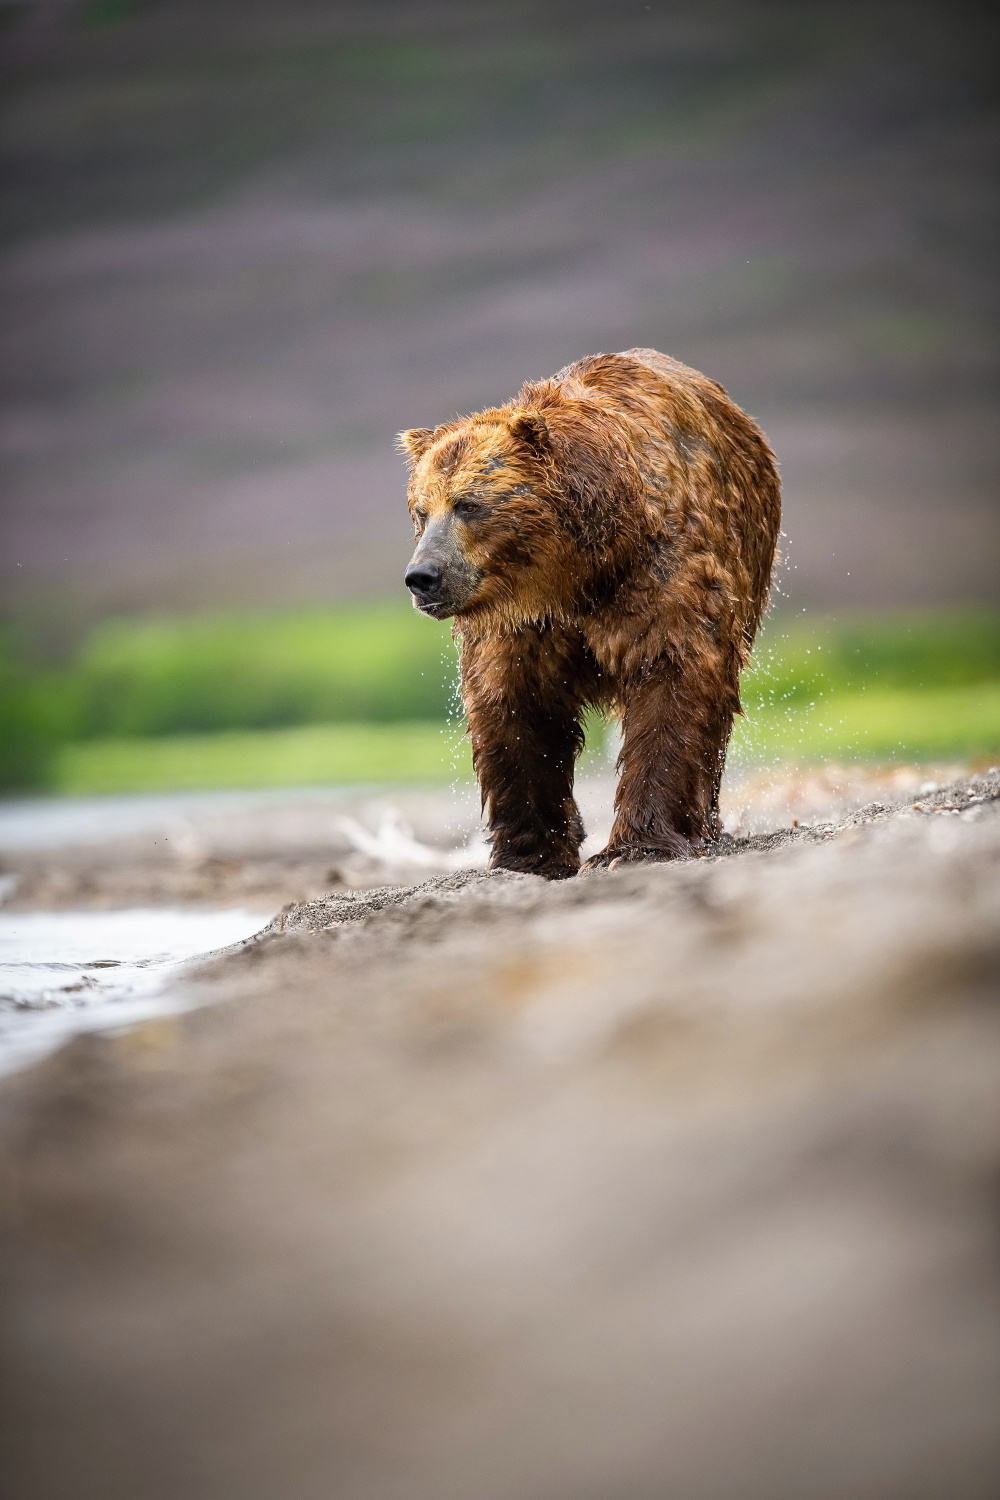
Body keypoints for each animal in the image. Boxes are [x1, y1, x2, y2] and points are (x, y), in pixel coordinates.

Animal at [401, 349, 779, 876]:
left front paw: (636, 846)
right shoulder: (522, 625)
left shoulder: (662, 573)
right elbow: (516, 707)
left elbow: (673, 679)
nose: (422, 576)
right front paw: (530, 854)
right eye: (421, 511)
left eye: (468, 504)